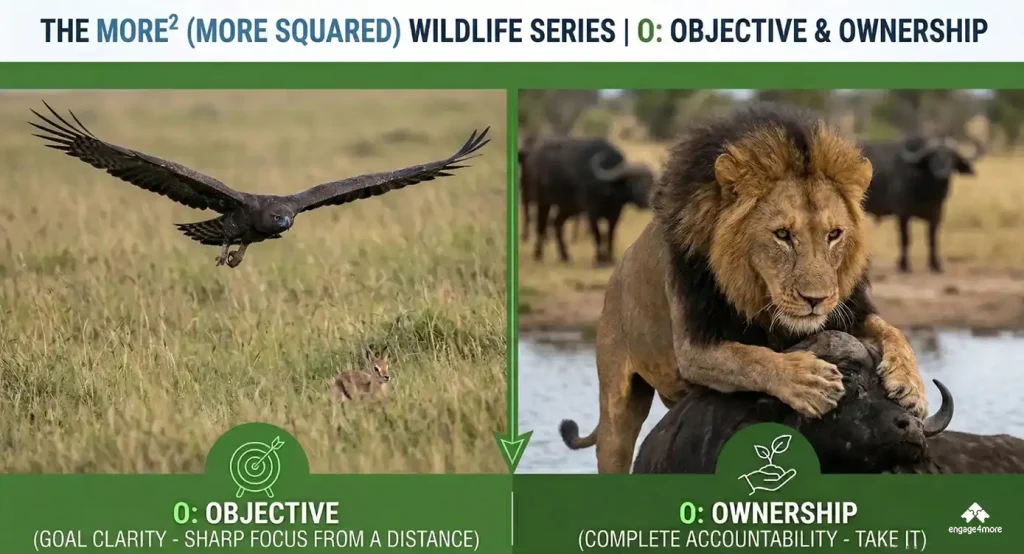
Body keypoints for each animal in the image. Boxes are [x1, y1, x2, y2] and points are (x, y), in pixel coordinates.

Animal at [559, 103, 928, 474]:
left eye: (834, 234)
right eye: (783, 235)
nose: (816, 300)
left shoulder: (848, 311)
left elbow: (892, 331)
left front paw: (911, 386)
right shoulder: (694, 347)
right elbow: (750, 357)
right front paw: (808, 381)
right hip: (616, 404)